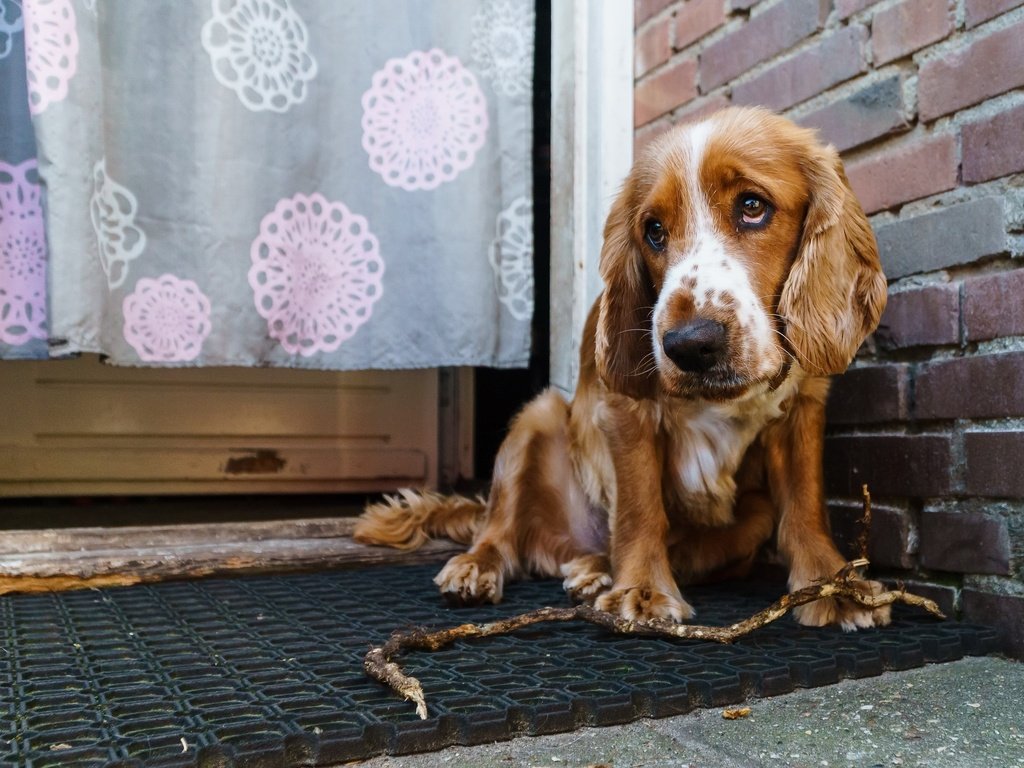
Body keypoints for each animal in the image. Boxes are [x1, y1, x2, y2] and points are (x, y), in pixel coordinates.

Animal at [356, 109, 892, 638]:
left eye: (752, 206)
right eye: (653, 230)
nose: (689, 345)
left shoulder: (803, 408)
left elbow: (805, 503)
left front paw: (833, 586)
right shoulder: (626, 411)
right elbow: (639, 506)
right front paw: (643, 592)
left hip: (753, 515)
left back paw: (593, 571)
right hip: (537, 417)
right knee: (499, 526)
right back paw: (481, 566)